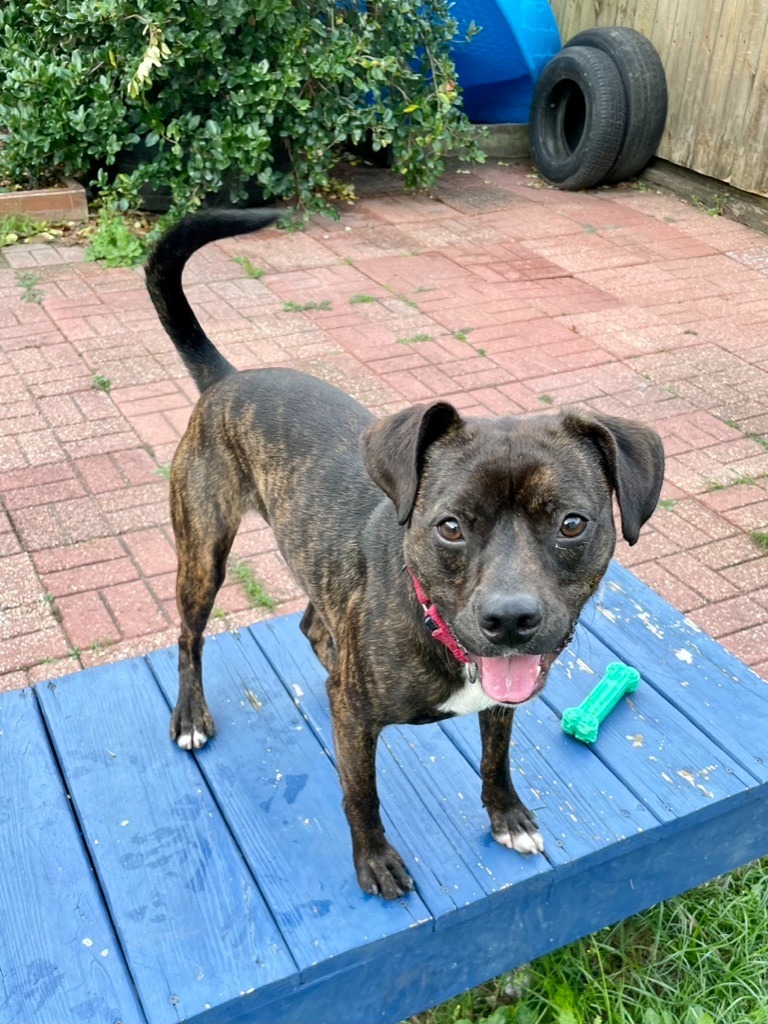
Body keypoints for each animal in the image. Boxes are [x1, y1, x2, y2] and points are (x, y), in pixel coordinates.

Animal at [147, 211, 663, 901]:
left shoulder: (498, 700)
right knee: (189, 637)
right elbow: (360, 793)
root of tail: (229, 379)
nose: (510, 620)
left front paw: (506, 815)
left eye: (572, 523)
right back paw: (190, 716)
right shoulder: (354, 720)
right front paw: (373, 860)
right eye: (450, 527)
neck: (433, 623)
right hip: (203, 554)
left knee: (313, 623)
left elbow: (496, 757)